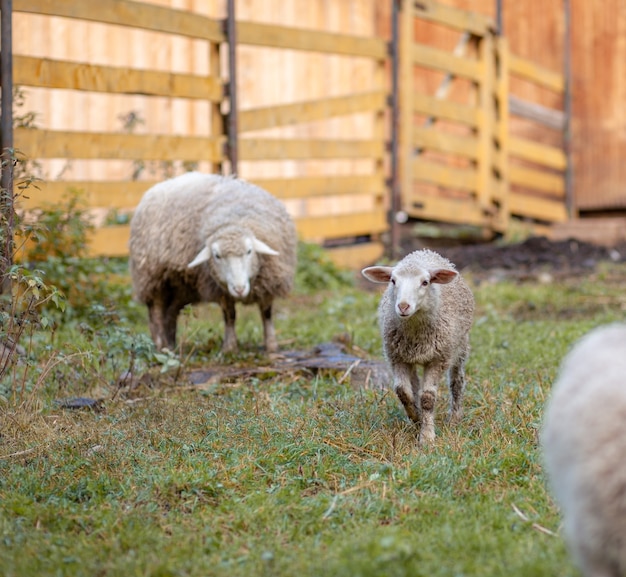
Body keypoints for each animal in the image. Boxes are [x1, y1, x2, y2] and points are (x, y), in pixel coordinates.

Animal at [127, 171, 298, 352]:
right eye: (216, 255)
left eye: (249, 251)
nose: (239, 289)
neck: (234, 220)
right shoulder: (220, 288)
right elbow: (230, 315)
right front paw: (230, 347)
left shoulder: (268, 283)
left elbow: (266, 314)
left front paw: (272, 345)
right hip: (152, 276)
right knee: (156, 313)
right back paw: (161, 346)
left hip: (181, 285)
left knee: (171, 312)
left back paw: (171, 346)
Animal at [360, 250, 472, 444]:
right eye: (393, 280)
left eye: (425, 282)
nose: (403, 306)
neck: (415, 331)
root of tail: (424, 252)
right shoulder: (396, 357)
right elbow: (403, 392)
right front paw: (416, 417)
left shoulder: (438, 359)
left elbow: (427, 397)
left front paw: (426, 437)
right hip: (408, 356)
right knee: (414, 385)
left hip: (460, 345)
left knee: (457, 381)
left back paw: (455, 418)